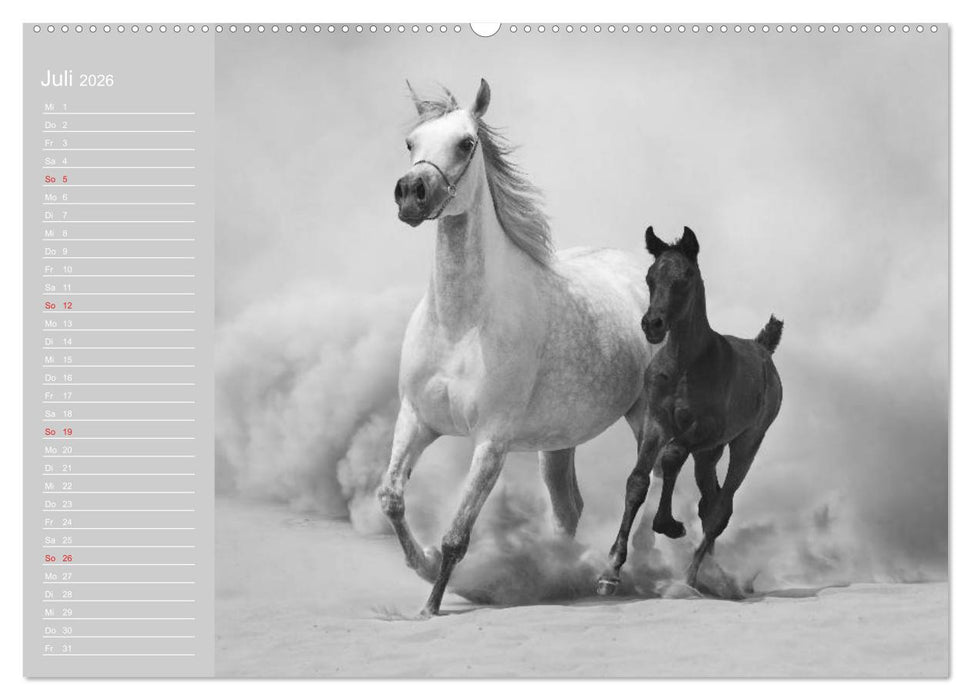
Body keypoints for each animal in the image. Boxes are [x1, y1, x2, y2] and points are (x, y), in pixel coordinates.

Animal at [377, 78, 657, 617]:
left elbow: (457, 535)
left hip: (645, 418)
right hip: (559, 440)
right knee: (569, 508)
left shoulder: (492, 442)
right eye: (410, 142)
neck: (461, 324)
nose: (411, 195)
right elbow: (392, 498)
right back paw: (559, 580)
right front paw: (421, 564)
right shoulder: (415, 419)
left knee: (643, 487)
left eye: (466, 143)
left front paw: (431, 605)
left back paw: (610, 576)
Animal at [596, 226, 783, 595]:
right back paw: (712, 574)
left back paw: (689, 578)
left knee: (721, 508)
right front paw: (610, 570)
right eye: (650, 277)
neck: (684, 364)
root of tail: (762, 348)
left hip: (746, 443)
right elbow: (637, 481)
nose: (652, 324)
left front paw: (669, 525)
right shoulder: (655, 422)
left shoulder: (704, 429)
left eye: (685, 277)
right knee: (709, 501)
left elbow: (671, 456)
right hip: (709, 455)